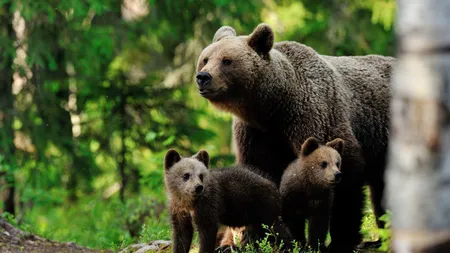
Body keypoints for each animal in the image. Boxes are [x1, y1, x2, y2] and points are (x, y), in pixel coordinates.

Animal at [195, 23, 392, 251]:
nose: (203, 77)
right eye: (206, 58)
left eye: (227, 60)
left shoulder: (314, 116)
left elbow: (346, 178)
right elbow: (259, 178)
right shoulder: (257, 135)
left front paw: (340, 240)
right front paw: (252, 239)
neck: (272, 108)